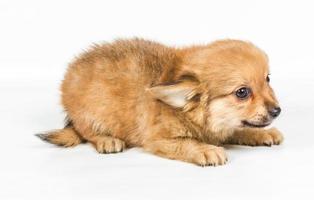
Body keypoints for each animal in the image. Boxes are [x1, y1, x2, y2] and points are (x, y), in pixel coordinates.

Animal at [37, 38, 284, 166]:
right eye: (242, 92)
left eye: (268, 79)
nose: (277, 111)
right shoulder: (158, 140)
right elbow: (187, 143)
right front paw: (206, 150)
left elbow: (239, 129)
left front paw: (262, 134)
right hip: (93, 114)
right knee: (85, 131)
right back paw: (107, 139)